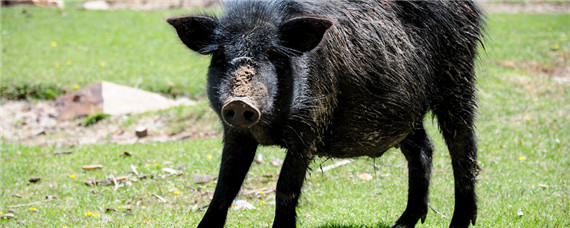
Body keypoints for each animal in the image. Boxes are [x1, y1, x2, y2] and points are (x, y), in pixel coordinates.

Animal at [166, 0, 482, 227]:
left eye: (273, 54)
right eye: (221, 56)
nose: (240, 102)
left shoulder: (310, 126)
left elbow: (285, 187)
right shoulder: (235, 133)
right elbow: (224, 187)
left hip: (458, 78)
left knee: (462, 147)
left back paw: (459, 223)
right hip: (403, 114)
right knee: (423, 149)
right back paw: (400, 225)